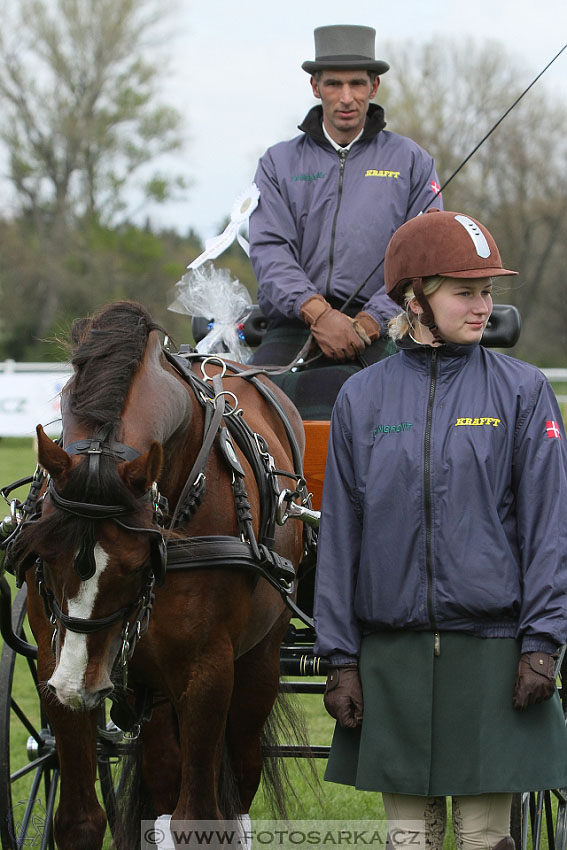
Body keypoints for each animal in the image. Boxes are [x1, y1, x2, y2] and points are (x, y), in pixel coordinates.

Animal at [12, 302, 306, 844]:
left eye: (135, 565)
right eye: (45, 554)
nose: (79, 684)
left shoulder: (207, 671)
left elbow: (201, 819)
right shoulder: (51, 661)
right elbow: (80, 820)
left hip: (257, 665)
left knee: (240, 775)